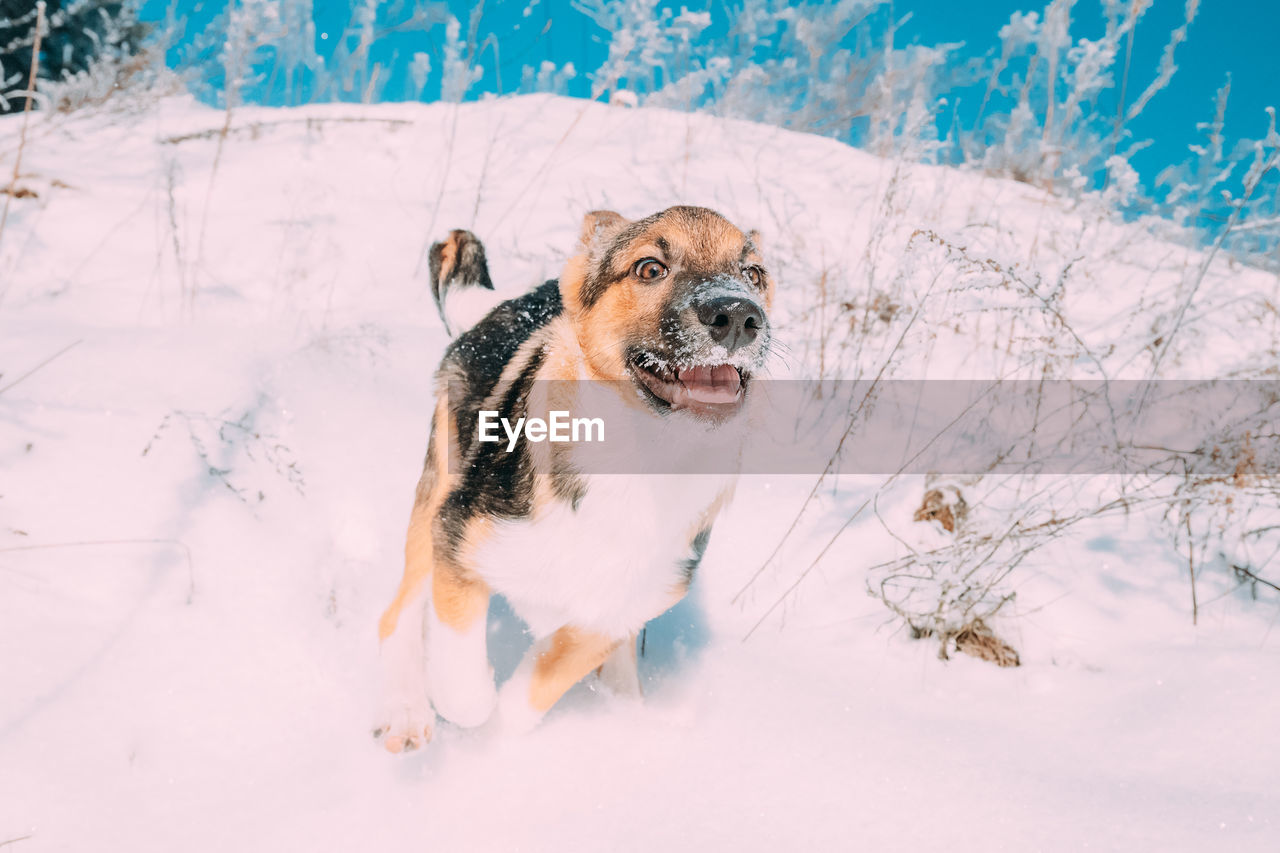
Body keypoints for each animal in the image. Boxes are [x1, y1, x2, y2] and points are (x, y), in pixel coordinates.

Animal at [371, 202, 768, 747]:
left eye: (754, 274)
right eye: (650, 268)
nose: (739, 316)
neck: (637, 469)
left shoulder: (609, 617)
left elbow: (529, 696)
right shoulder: (456, 538)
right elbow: (465, 691)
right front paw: (464, 710)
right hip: (438, 490)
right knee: (398, 613)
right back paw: (406, 708)